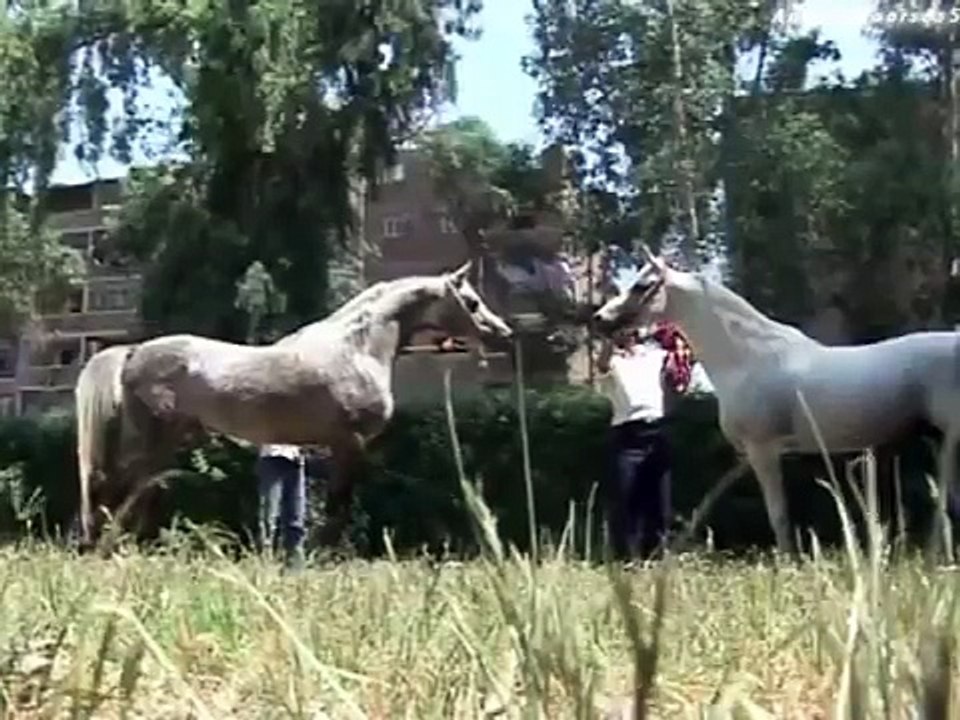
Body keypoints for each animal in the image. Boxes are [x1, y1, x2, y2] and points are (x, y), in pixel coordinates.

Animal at [75, 261, 513, 550]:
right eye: (471, 301)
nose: (504, 333)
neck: (357, 349)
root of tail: (133, 353)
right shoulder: (349, 443)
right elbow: (338, 508)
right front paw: (325, 555)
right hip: (154, 439)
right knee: (112, 487)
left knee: (127, 491)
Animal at [591, 243, 960, 555]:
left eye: (642, 286)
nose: (599, 319)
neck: (747, 359)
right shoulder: (749, 455)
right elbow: (714, 499)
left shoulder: (763, 450)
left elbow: (778, 514)